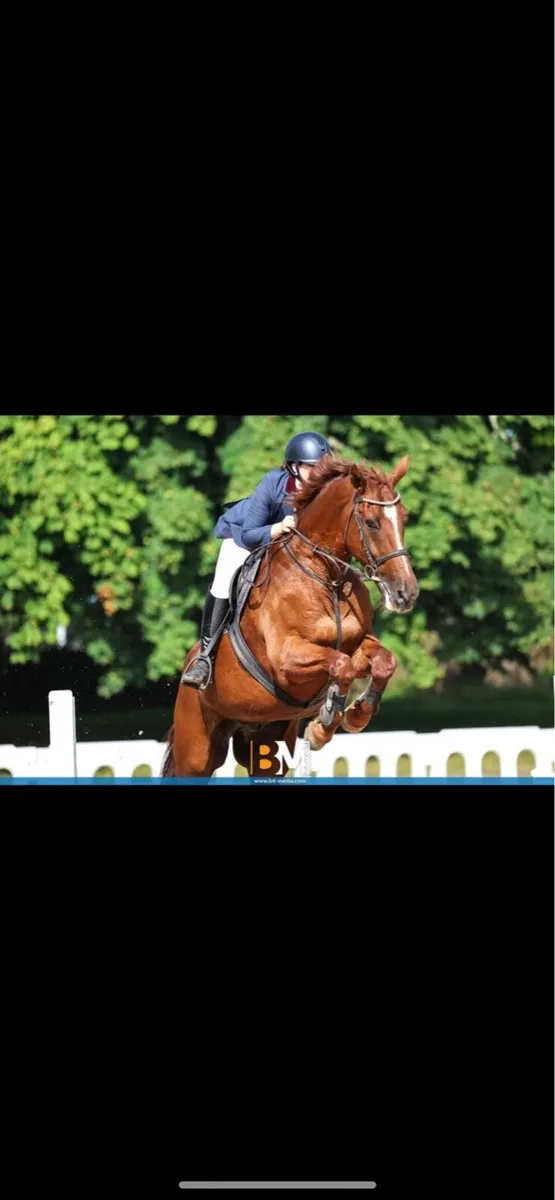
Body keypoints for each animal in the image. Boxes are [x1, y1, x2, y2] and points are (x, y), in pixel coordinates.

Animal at [161, 453, 419, 777]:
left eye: (404, 519)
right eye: (371, 523)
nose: (406, 593)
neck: (327, 578)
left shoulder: (358, 643)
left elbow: (383, 661)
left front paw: (356, 715)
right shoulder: (287, 659)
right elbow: (342, 664)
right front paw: (323, 727)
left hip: (267, 741)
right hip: (195, 750)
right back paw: (199, 671)